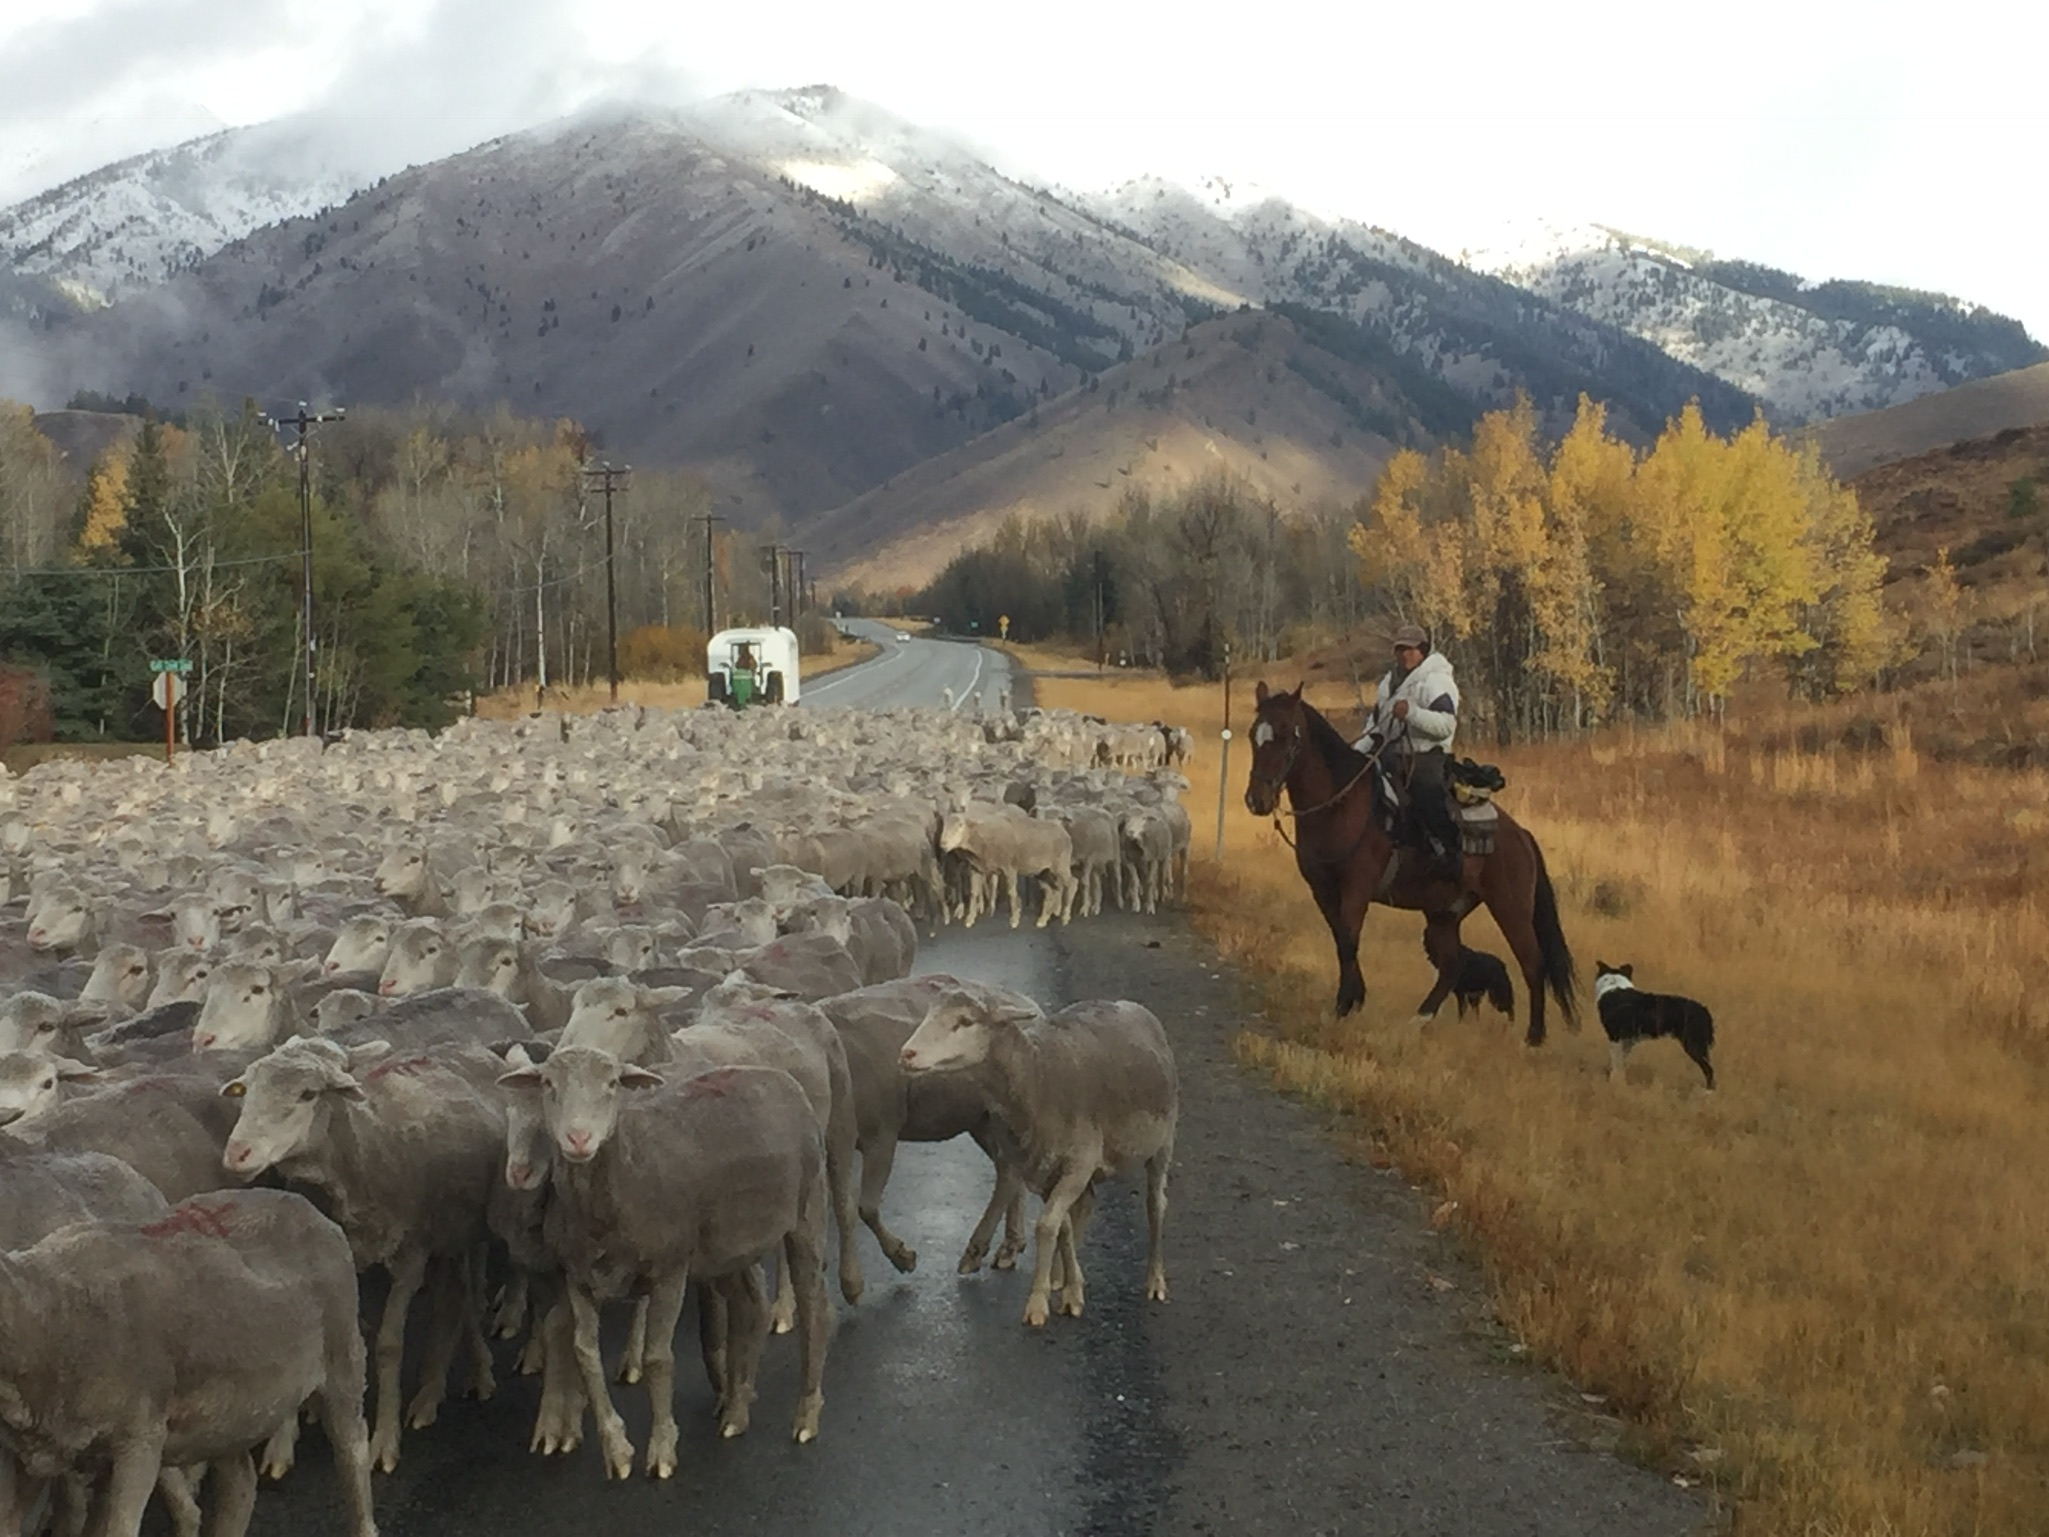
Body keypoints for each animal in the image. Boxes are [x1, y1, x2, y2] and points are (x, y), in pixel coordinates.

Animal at [497, 1049, 832, 1475]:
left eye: (612, 1084)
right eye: (547, 1084)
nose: (578, 1138)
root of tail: (780, 1077)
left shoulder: (670, 1269)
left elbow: (657, 1358)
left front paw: (661, 1450)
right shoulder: (580, 1278)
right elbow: (585, 1354)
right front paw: (617, 1450)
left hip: (808, 1209)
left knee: (815, 1307)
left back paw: (806, 1417)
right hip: (730, 1247)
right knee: (750, 1306)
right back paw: (736, 1412)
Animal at [900, 992, 1176, 1327]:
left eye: (965, 1021)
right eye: (929, 1013)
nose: (907, 1053)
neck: (1036, 1079)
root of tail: (1133, 1006)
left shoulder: (1079, 1163)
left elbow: (1045, 1226)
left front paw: (1037, 1304)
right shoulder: (1043, 1168)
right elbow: (1060, 1225)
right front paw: (1071, 1292)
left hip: (1163, 1141)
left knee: (1155, 1204)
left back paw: (1155, 1282)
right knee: (1085, 1205)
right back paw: (1060, 1277)